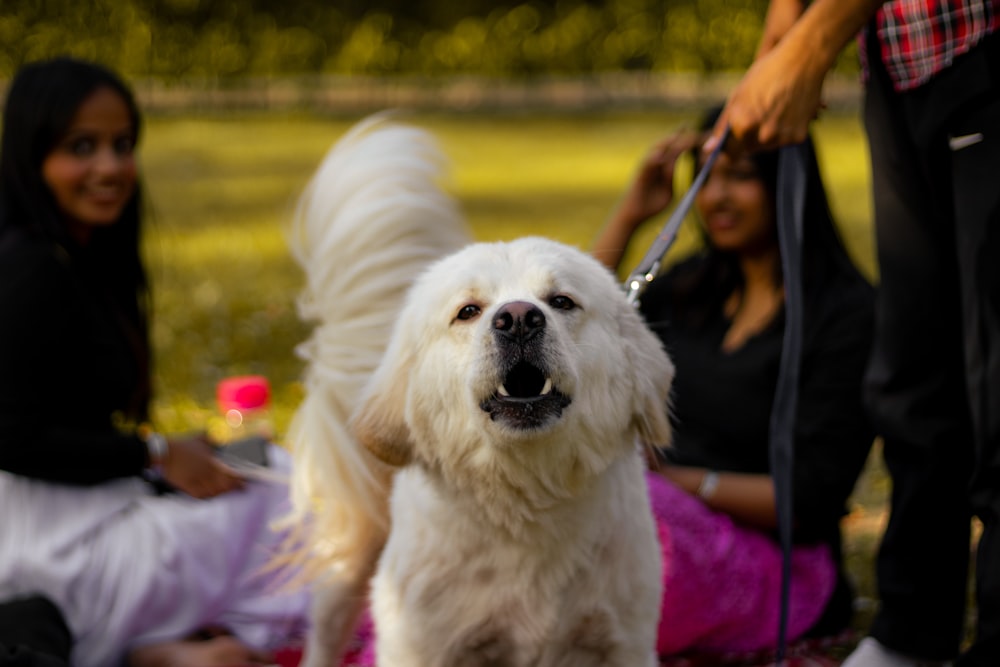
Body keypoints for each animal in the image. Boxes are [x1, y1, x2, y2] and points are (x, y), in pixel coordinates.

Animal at [282, 117, 672, 664]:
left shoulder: (624, 639)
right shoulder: (422, 644)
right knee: (327, 627)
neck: (529, 498)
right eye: (468, 311)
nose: (519, 318)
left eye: (561, 301)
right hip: (351, 555)